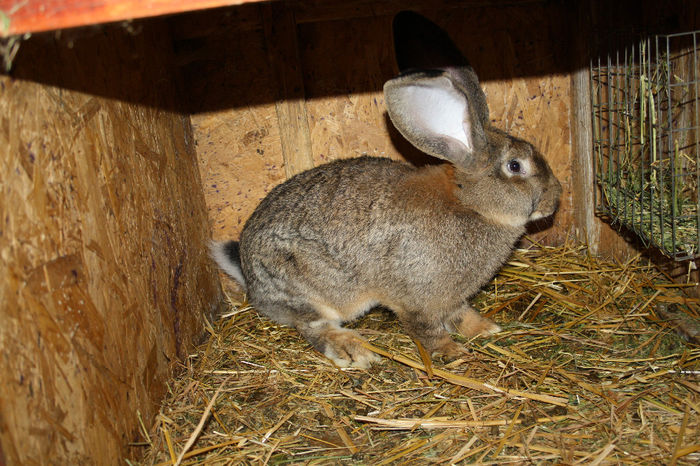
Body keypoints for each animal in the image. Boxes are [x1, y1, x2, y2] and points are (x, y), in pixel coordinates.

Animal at [209, 10, 564, 368]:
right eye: (515, 167)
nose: (555, 197)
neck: (470, 205)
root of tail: (249, 278)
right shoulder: (417, 298)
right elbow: (426, 329)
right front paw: (452, 353)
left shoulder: (450, 299)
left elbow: (460, 313)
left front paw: (485, 328)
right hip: (309, 290)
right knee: (311, 325)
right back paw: (354, 350)